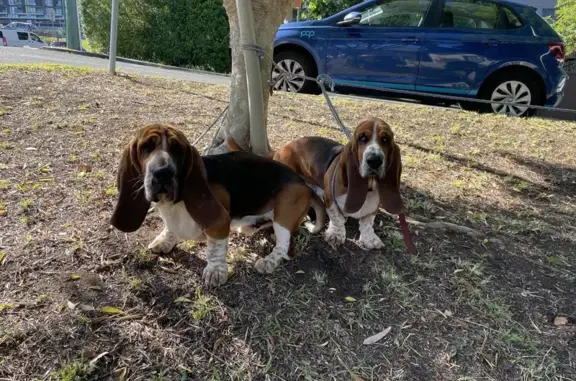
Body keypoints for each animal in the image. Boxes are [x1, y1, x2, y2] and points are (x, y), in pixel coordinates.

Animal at [110, 123, 326, 284]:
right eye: (145, 147)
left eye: (177, 149)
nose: (163, 173)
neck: (174, 204)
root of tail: (304, 184)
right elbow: (170, 228)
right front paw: (165, 240)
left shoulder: (219, 222)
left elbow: (216, 247)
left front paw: (216, 271)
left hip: (284, 213)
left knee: (284, 247)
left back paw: (268, 262)